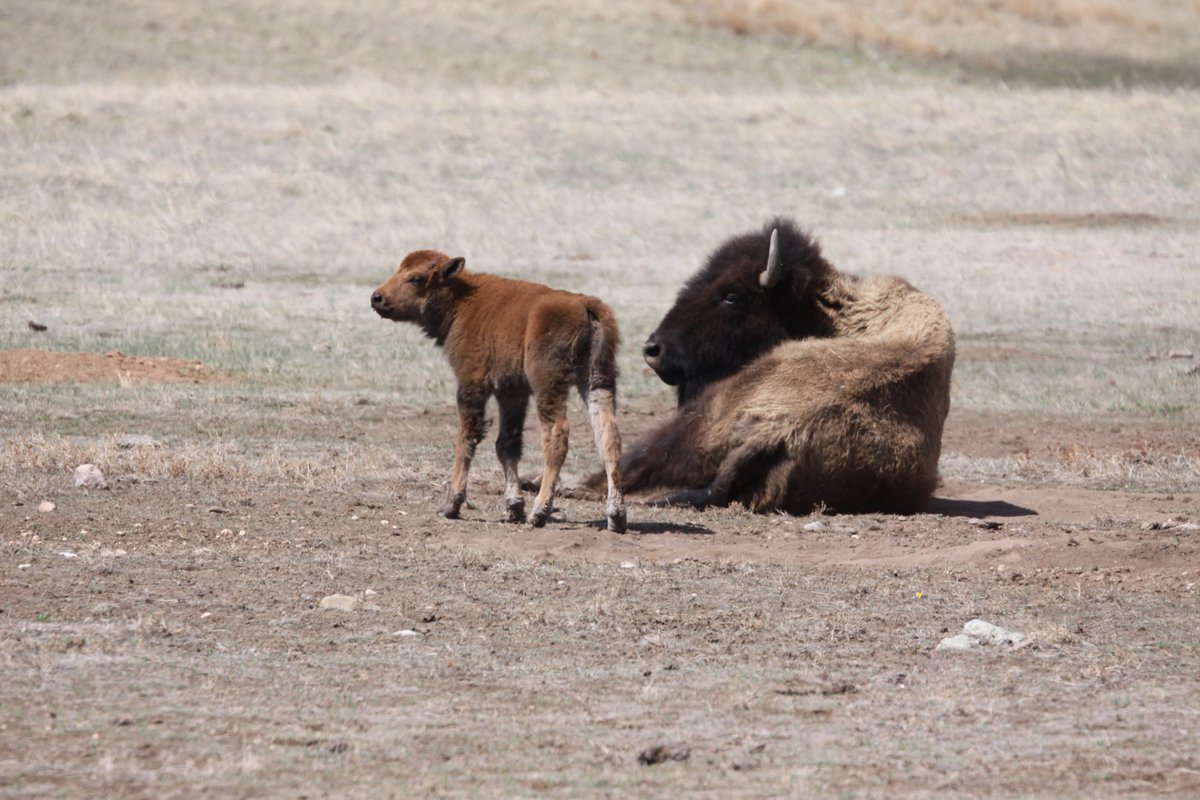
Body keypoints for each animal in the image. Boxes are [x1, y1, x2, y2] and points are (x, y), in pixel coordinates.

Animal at [374, 250, 628, 534]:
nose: (377, 297)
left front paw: (451, 505)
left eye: (416, 278)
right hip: (597, 379)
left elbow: (466, 440)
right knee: (608, 436)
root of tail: (585, 306)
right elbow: (507, 445)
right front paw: (513, 507)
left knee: (556, 435)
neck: (461, 300)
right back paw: (616, 516)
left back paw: (539, 512)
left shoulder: (471, 384)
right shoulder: (512, 392)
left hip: (548, 384)